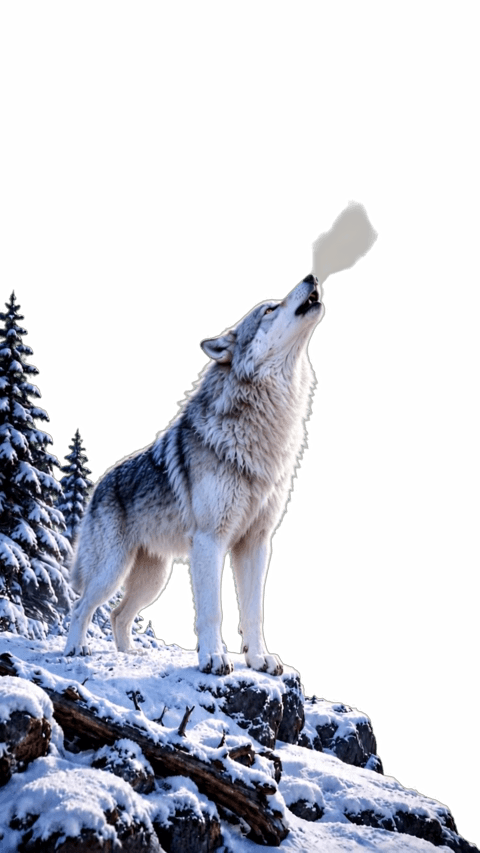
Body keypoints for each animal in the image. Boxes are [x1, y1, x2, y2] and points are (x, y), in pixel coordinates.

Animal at [65, 200, 378, 675]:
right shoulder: (210, 542)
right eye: (269, 309)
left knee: (119, 615)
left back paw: (129, 657)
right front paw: (214, 658)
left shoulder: (256, 545)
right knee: (81, 606)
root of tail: (101, 482)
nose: (311, 277)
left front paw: (260, 659)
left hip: (153, 577)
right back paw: (74, 651)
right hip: (113, 569)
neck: (265, 426)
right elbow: (213, 610)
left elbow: (253, 610)